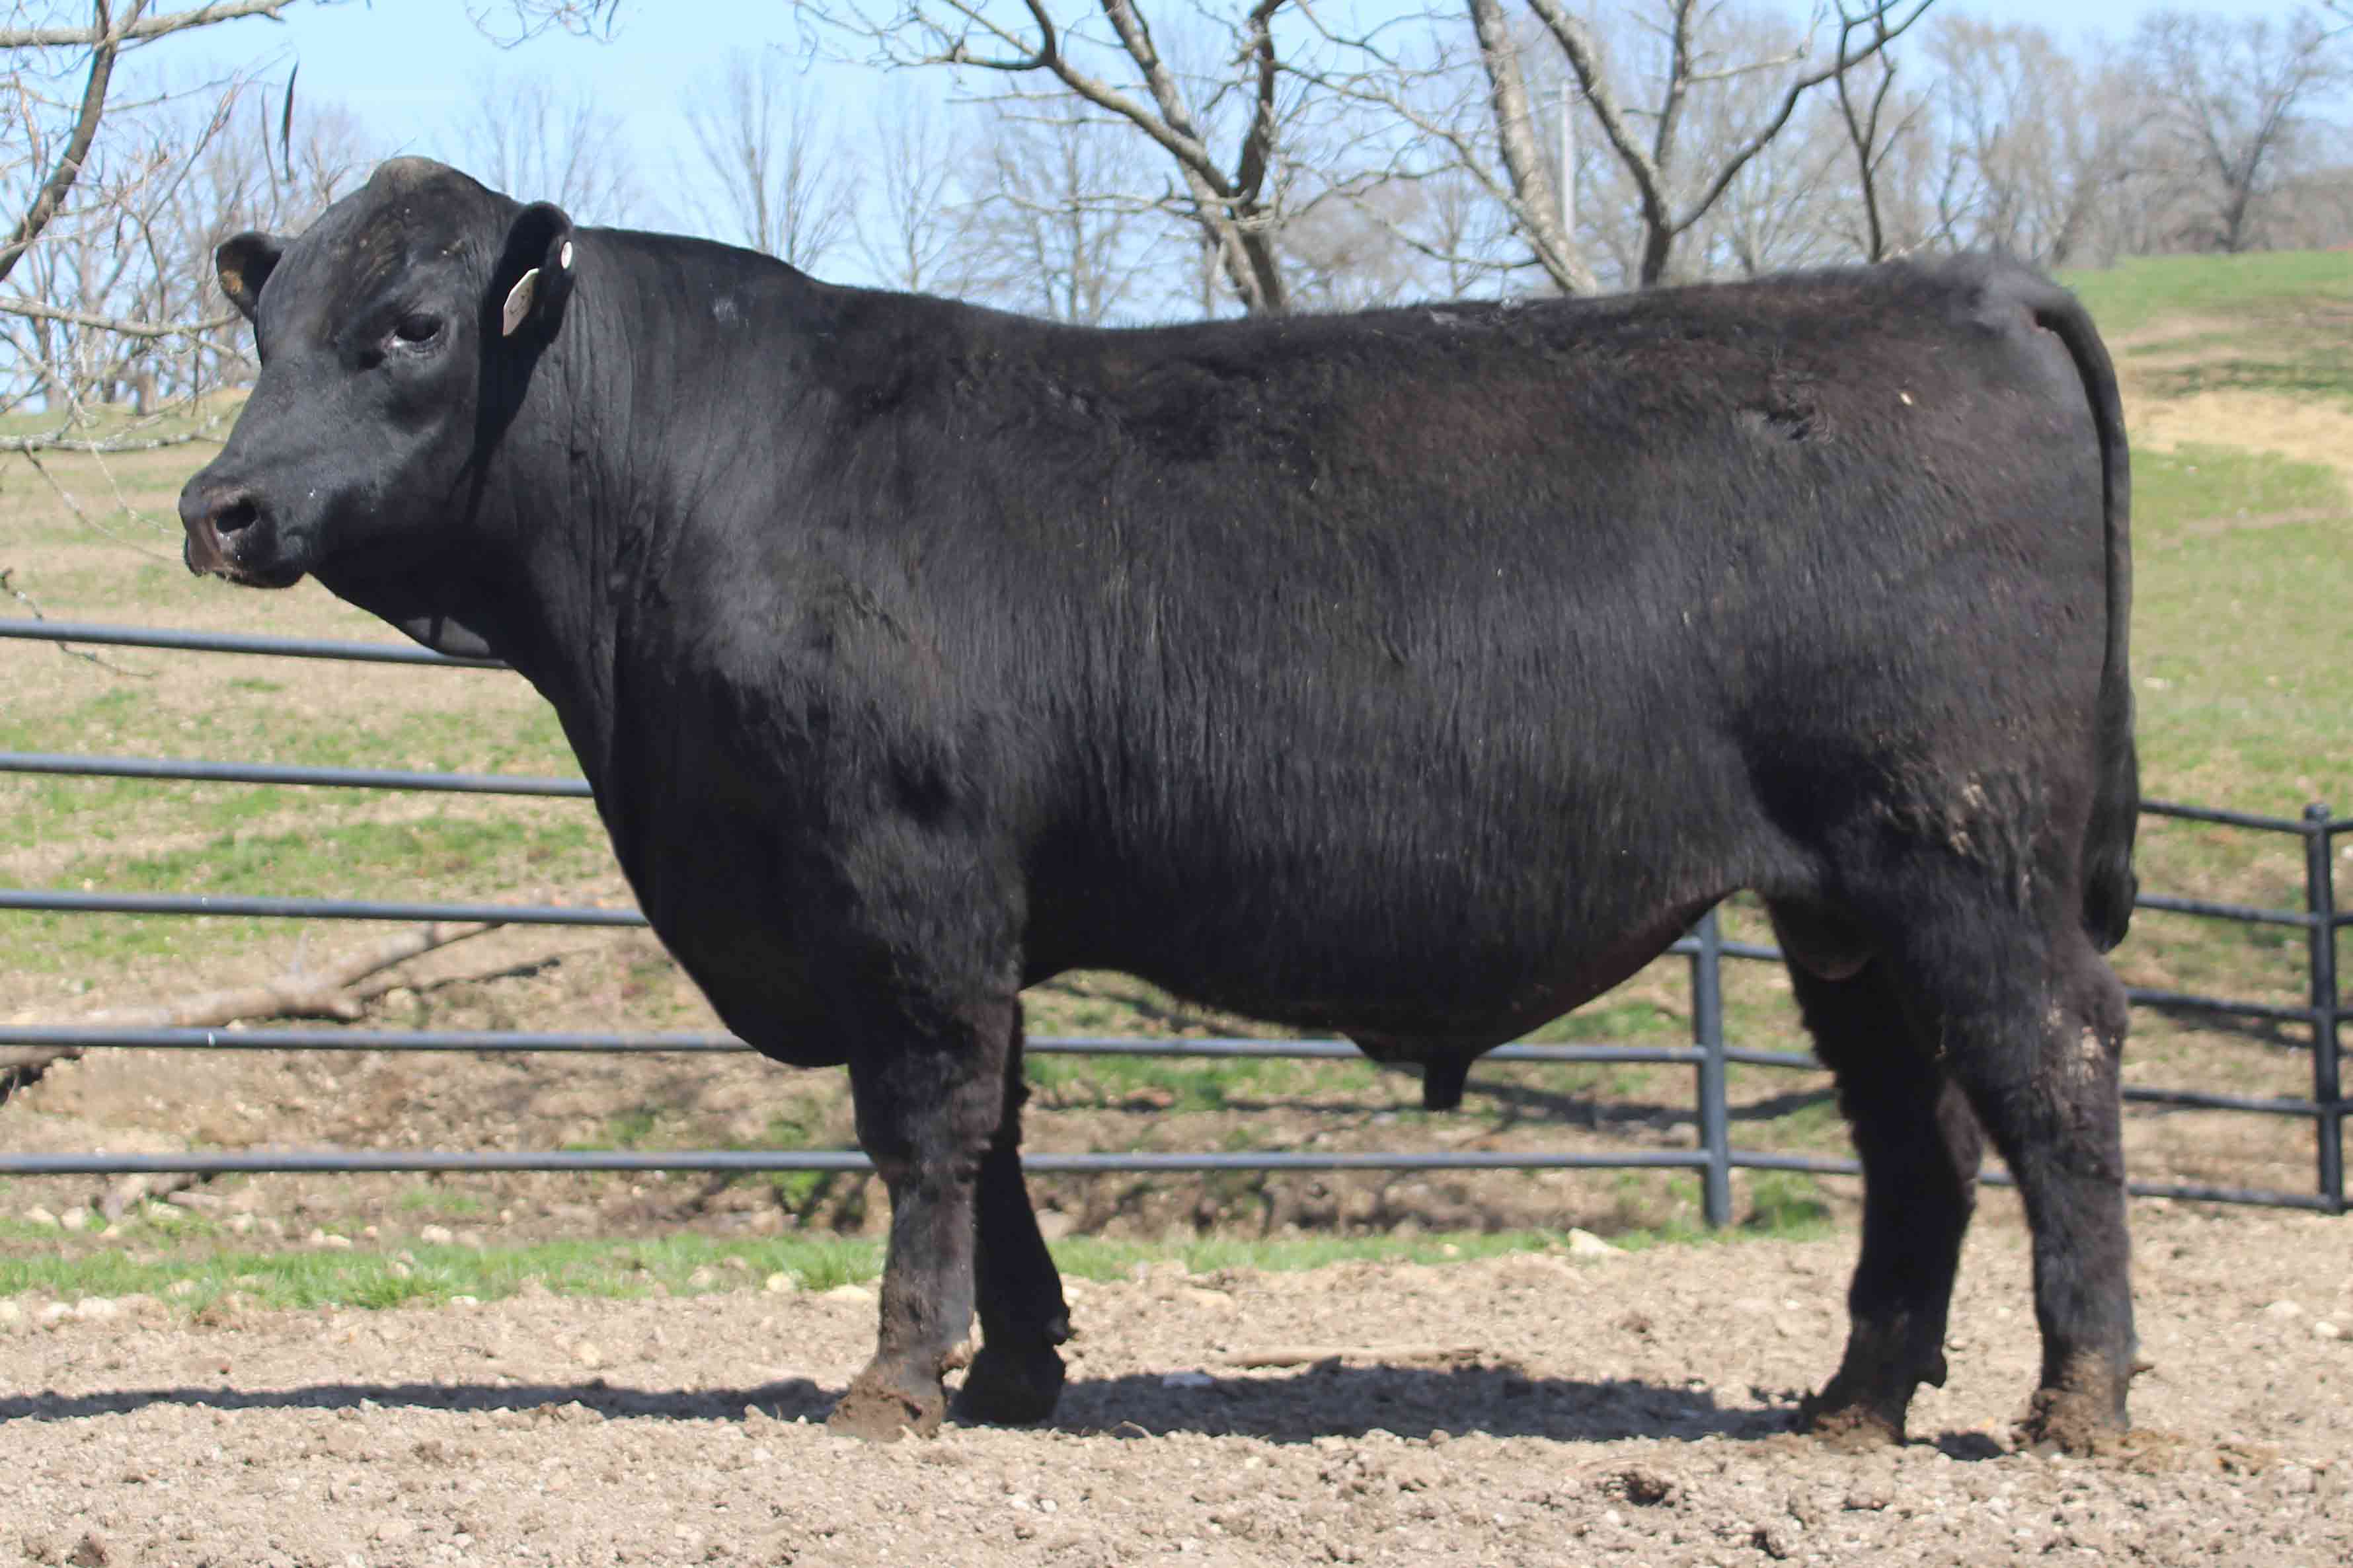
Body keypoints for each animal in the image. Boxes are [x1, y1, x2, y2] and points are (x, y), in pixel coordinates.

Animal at [179, 158, 2139, 1450]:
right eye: (264, 324)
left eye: (410, 326)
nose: (219, 505)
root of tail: (1956, 287)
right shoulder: (943, 906)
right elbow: (1004, 1135)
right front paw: (1017, 1371)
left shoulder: (900, 876)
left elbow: (928, 1125)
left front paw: (895, 1382)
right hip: (1844, 905)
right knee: (1916, 1132)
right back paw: (1852, 1405)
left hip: (1964, 852)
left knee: (2052, 1074)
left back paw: (2080, 1400)